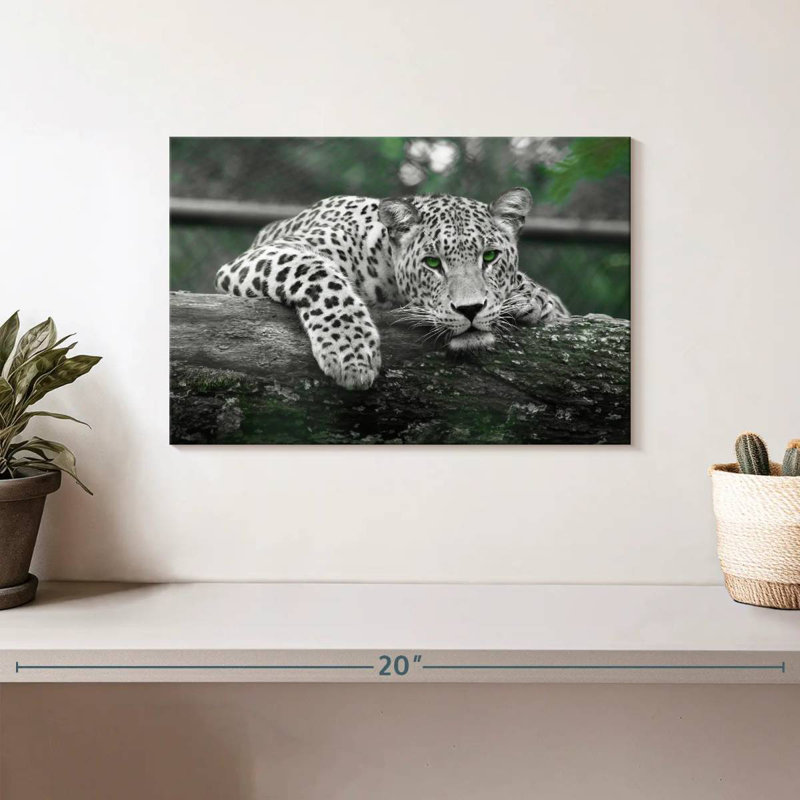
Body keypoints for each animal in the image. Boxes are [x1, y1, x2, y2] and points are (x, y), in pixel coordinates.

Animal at [215, 187, 568, 390]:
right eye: (433, 263)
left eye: (490, 257)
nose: (470, 310)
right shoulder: (266, 254)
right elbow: (318, 273)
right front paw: (351, 351)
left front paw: (533, 298)